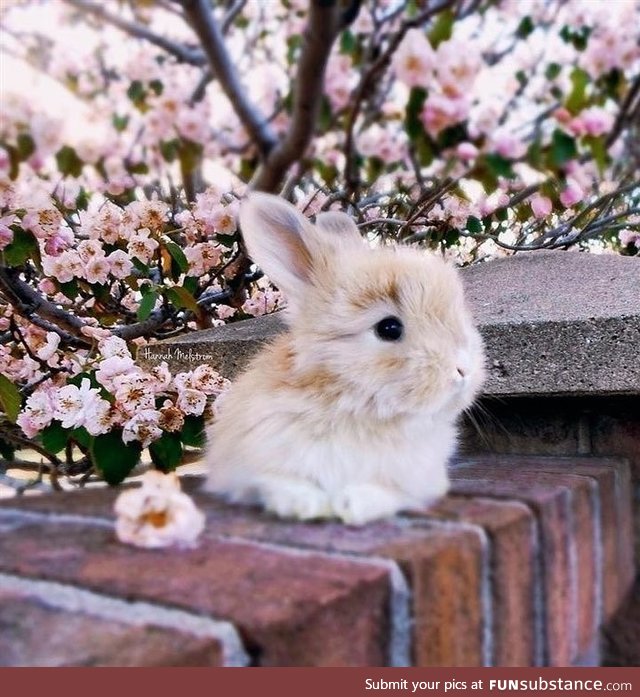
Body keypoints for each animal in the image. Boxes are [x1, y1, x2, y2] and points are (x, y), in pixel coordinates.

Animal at [205, 192, 484, 520]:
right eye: (389, 328)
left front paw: (352, 504)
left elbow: (387, 493)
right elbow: (277, 482)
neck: (355, 406)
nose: (463, 370)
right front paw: (306, 505)